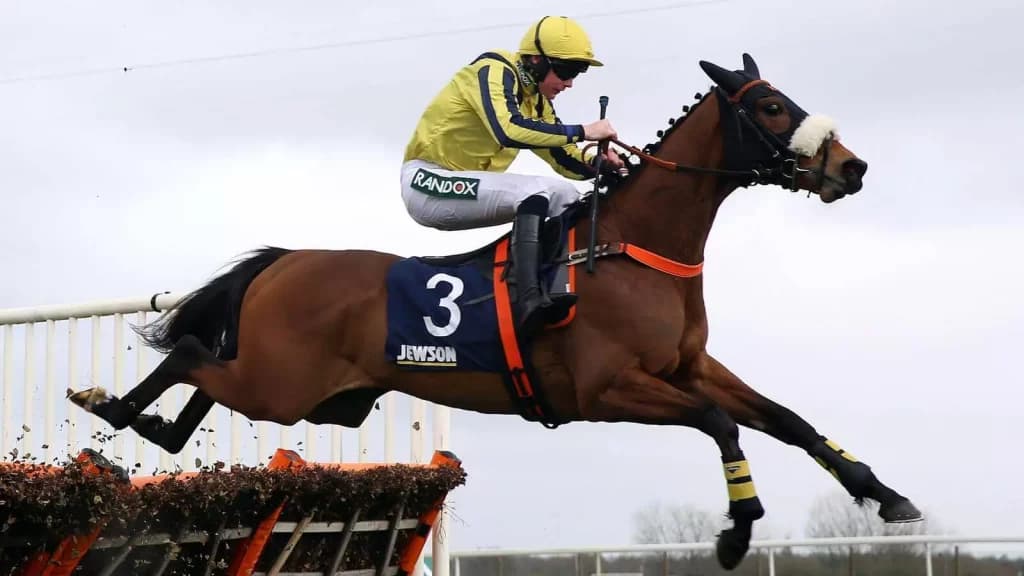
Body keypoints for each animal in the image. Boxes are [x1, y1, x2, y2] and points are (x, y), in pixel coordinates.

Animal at [68, 53, 922, 570]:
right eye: (772, 106)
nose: (852, 166)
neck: (633, 250)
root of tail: (286, 260)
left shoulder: (690, 367)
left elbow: (789, 420)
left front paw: (886, 495)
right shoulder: (608, 390)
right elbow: (723, 425)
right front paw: (738, 530)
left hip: (314, 395)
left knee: (199, 388)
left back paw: (147, 425)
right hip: (281, 384)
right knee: (189, 358)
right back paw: (109, 405)